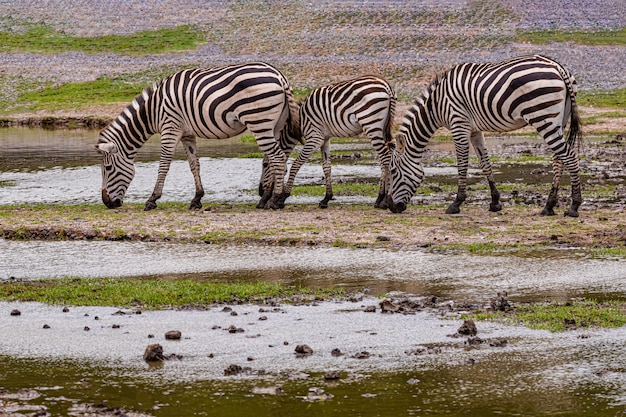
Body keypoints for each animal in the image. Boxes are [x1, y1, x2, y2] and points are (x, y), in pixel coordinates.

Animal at [95, 61, 302, 211]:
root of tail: (279, 76)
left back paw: (275, 200)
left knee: (278, 158)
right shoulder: (187, 134)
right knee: (272, 159)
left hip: (259, 121)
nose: (107, 203)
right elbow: (194, 165)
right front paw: (197, 199)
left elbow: (164, 165)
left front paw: (152, 199)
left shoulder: (170, 127)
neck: (153, 111)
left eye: (107, 168)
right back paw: (265, 199)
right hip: (273, 125)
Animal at [274, 75, 394, 208]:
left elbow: (296, 164)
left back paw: (383, 199)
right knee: (385, 159)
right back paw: (381, 199)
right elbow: (327, 167)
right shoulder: (325, 138)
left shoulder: (315, 138)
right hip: (381, 128)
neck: (300, 120)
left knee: (386, 157)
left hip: (371, 124)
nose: (267, 199)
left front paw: (283, 196)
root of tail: (386, 85)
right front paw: (326, 198)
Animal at [386, 54, 580, 216]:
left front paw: (456, 203)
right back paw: (549, 206)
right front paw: (495, 202)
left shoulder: (459, 125)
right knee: (559, 159)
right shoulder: (474, 130)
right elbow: (485, 164)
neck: (437, 105)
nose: (390, 206)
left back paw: (574, 206)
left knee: (570, 157)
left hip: (542, 118)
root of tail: (558, 67)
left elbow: (462, 164)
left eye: (393, 171)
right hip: (559, 121)